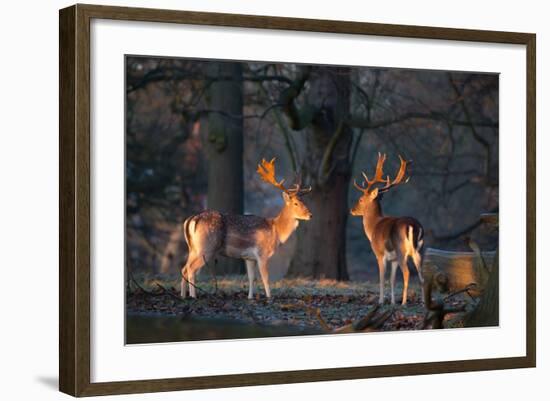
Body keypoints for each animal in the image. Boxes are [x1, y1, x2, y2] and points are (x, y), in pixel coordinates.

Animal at [180, 158, 310, 298]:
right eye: (296, 203)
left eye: (304, 202)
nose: (310, 215)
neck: (276, 231)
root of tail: (191, 219)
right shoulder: (262, 253)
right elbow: (265, 278)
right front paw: (269, 297)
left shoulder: (249, 257)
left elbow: (251, 278)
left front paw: (250, 297)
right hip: (207, 247)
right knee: (191, 269)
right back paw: (193, 296)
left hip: (193, 248)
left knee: (184, 269)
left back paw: (183, 296)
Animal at [354, 153, 426, 304]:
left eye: (361, 199)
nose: (352, 210)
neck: (373, 228)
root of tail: (414, 226)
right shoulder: (393, 259)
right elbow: (392, 280)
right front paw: (392, 301)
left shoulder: (379, 253)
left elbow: (382, 278)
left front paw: (381, 301)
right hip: (419, 250)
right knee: (422, 275)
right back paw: (423, 301)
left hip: (401, 250)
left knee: (407, 272)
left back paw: (404, 302)